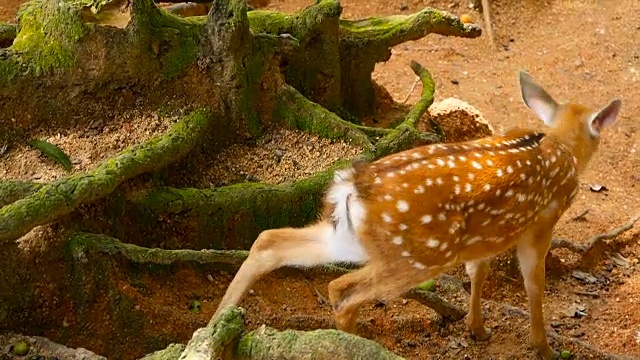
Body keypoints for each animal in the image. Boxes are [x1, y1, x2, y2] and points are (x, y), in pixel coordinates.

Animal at [214, 71, 620, 360]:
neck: (560, 145)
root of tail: (353, 186)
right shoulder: (540, 224)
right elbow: (534, 283)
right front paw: (544, 347)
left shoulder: (486, 234)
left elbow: (478, 271)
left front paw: (477, 329)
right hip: (418, 256)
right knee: (341, 289)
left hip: (349, 237)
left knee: (269, 241)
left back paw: (218, 320)